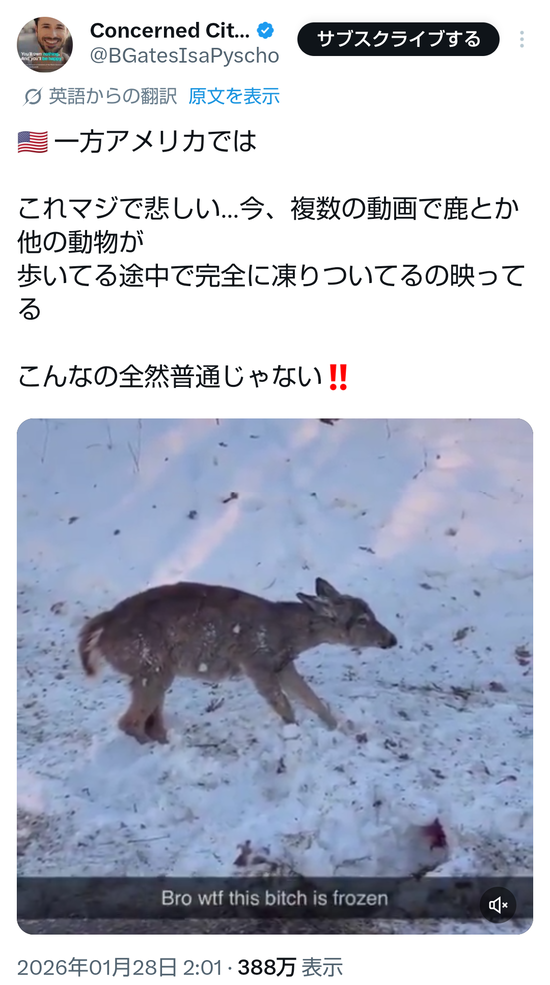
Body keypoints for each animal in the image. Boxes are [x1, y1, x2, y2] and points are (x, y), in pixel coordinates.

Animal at [78, 577, 397, 744]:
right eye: (362, 619)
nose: (392, 640)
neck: (287, 632)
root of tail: (104, 625)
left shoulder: (283, 664)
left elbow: (313, 700)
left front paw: (342, 730)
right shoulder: (256, 662)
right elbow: (286, 706)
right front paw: (296, 734)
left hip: (155, 671)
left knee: (147, 721)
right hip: (151, 666)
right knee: (129, 722)